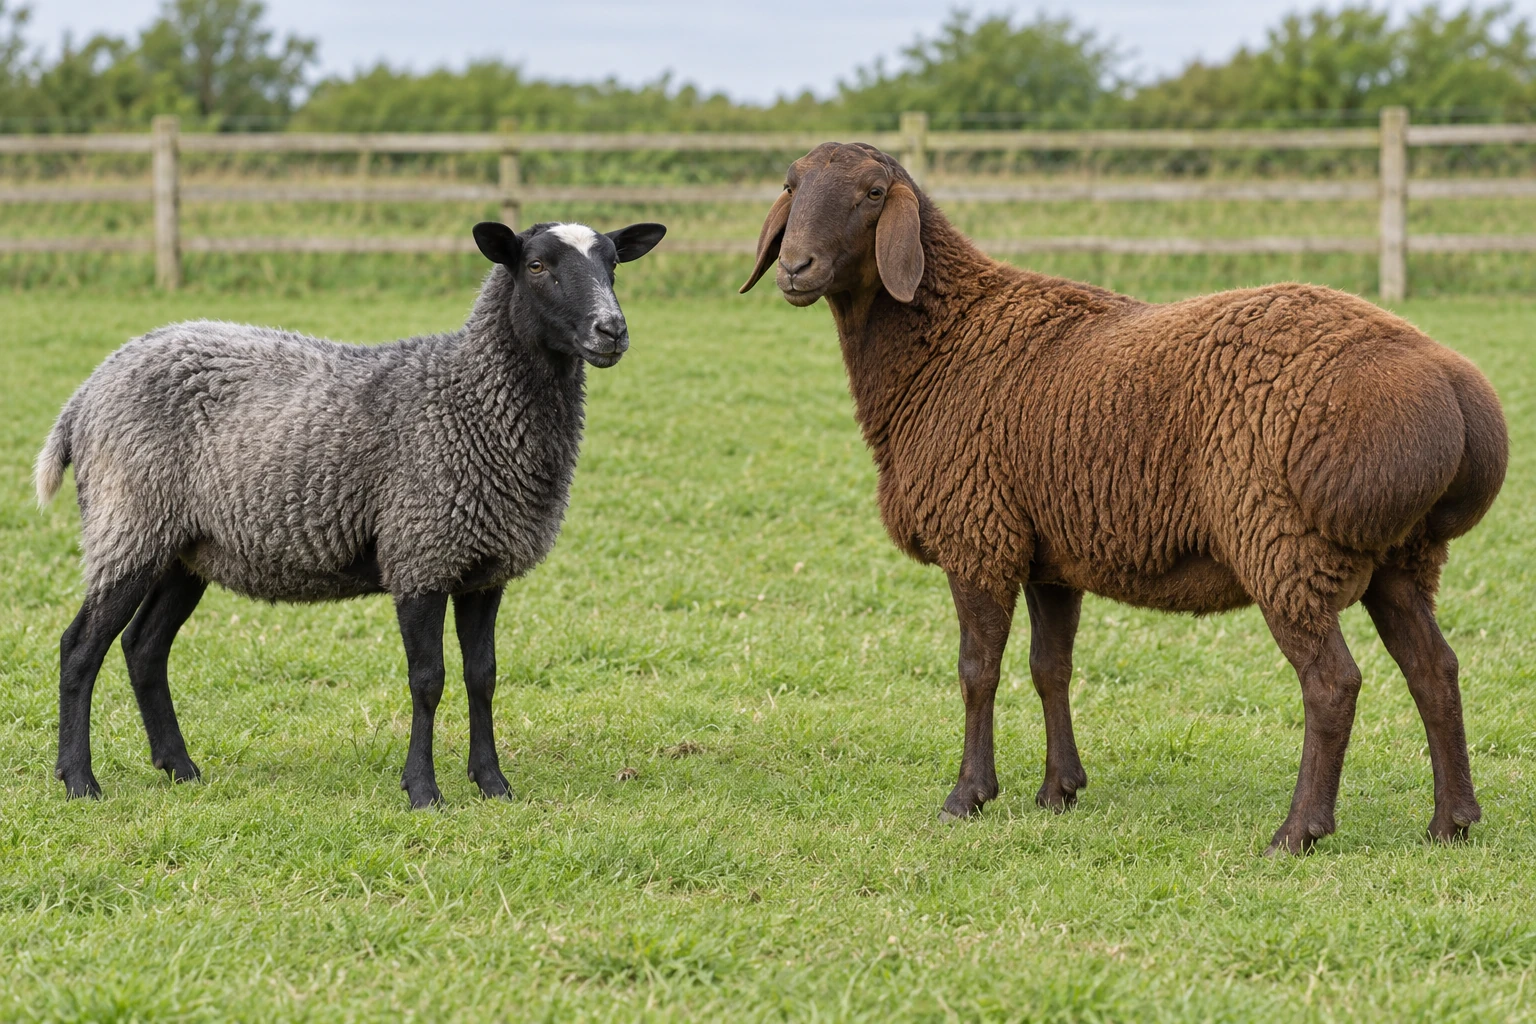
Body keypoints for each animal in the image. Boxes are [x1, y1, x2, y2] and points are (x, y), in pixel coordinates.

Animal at [35, 218, 666, 808]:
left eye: (613, 263)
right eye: (536, 266)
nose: (612, 331)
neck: (468, 398)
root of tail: (85, 394)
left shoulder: (483, 569)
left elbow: (482, 677)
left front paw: (492, 784)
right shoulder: (420, 552)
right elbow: (428, 680)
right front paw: (423, 791)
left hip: (185, 548)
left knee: (144, 648)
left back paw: (180, 768)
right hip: (129, 520)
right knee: (80, 648)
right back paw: (80, 782)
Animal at [740, 142, 1507, 854]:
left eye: (873, 194)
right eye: (791, 185)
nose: (795, 268)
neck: (945, 340)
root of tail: (1458, 396)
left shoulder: (979, 536)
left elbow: (976, 672)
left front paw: (968, 796)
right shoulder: (1047, 555)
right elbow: (1050, 669)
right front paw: (1059, 790)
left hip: (1284, 547)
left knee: (1332, 684)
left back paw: (1298, 832)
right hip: (1399, 557)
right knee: (1435, 670)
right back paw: (1451, 822)